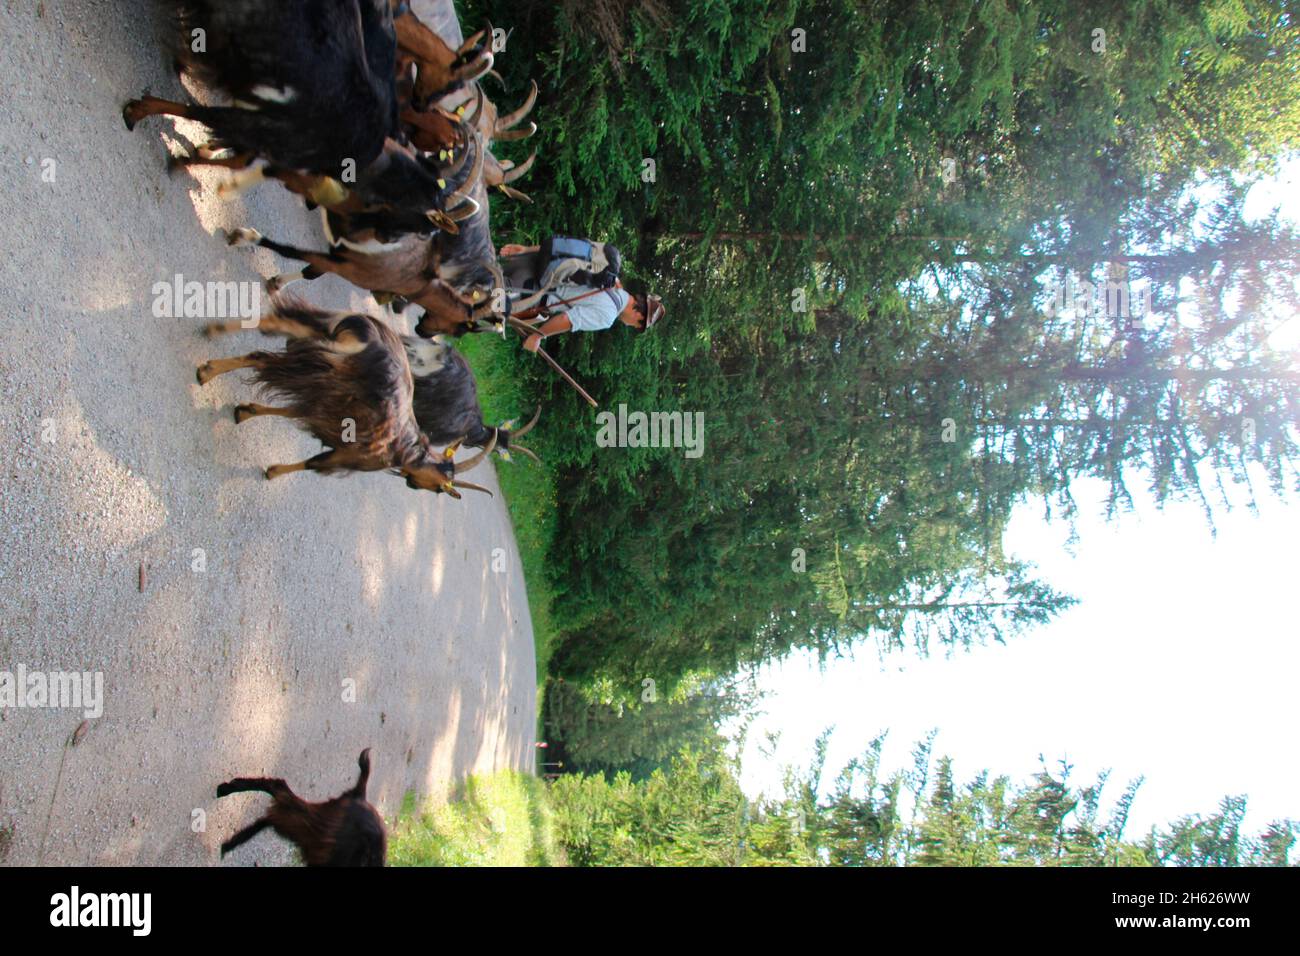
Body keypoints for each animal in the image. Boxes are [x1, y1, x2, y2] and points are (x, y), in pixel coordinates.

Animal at [198, 297, 496, 497]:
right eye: (441, 488)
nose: (413, 485)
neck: (410, 453)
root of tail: (367, 339)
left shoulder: (326, 405)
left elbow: (291, 411)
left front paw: (245, 411)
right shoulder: (347, 454)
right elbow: (312, 463)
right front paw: (272, 472)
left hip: (316, 341)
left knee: (269, 331)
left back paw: (213, 333)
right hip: (321, 363)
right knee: (261, 358)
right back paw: (207, 371)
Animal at [217, 748, 386, 866]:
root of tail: (360, 796)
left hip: (313, 834)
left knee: (274, 816)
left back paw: (232, 842)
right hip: (322, 829)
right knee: (279, 790)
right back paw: (225, 790)